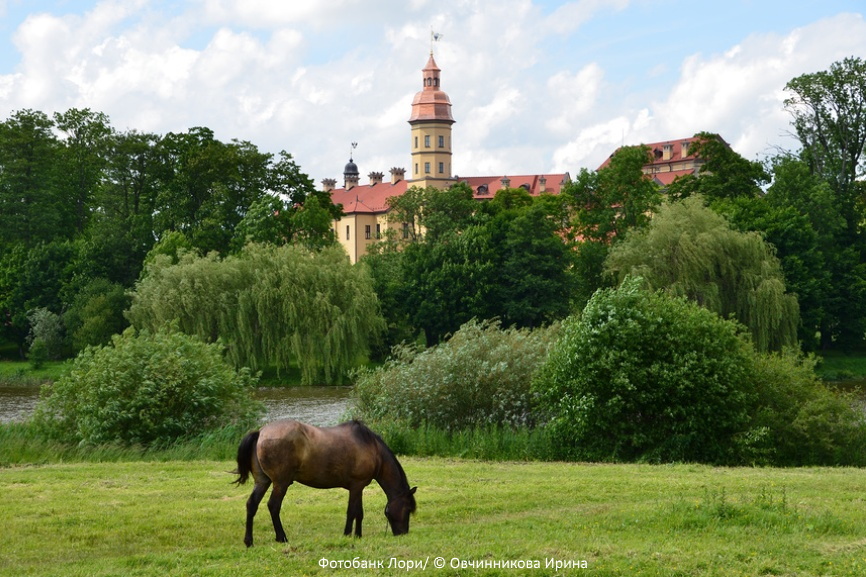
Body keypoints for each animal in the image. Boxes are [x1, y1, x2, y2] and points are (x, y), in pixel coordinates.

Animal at [233, 418, 416, 544]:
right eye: (408, 509)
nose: (403, 533)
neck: (372, 447)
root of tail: (260, 432)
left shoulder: (358, 487)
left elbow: (358, 512)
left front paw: (357, 535)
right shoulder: (357, 486)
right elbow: (353, 512)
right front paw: (348, 534)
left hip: (262, 482)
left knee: (252, 505)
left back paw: (249, 541)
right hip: (281, 483)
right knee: (273, 506)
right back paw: (281, 537)